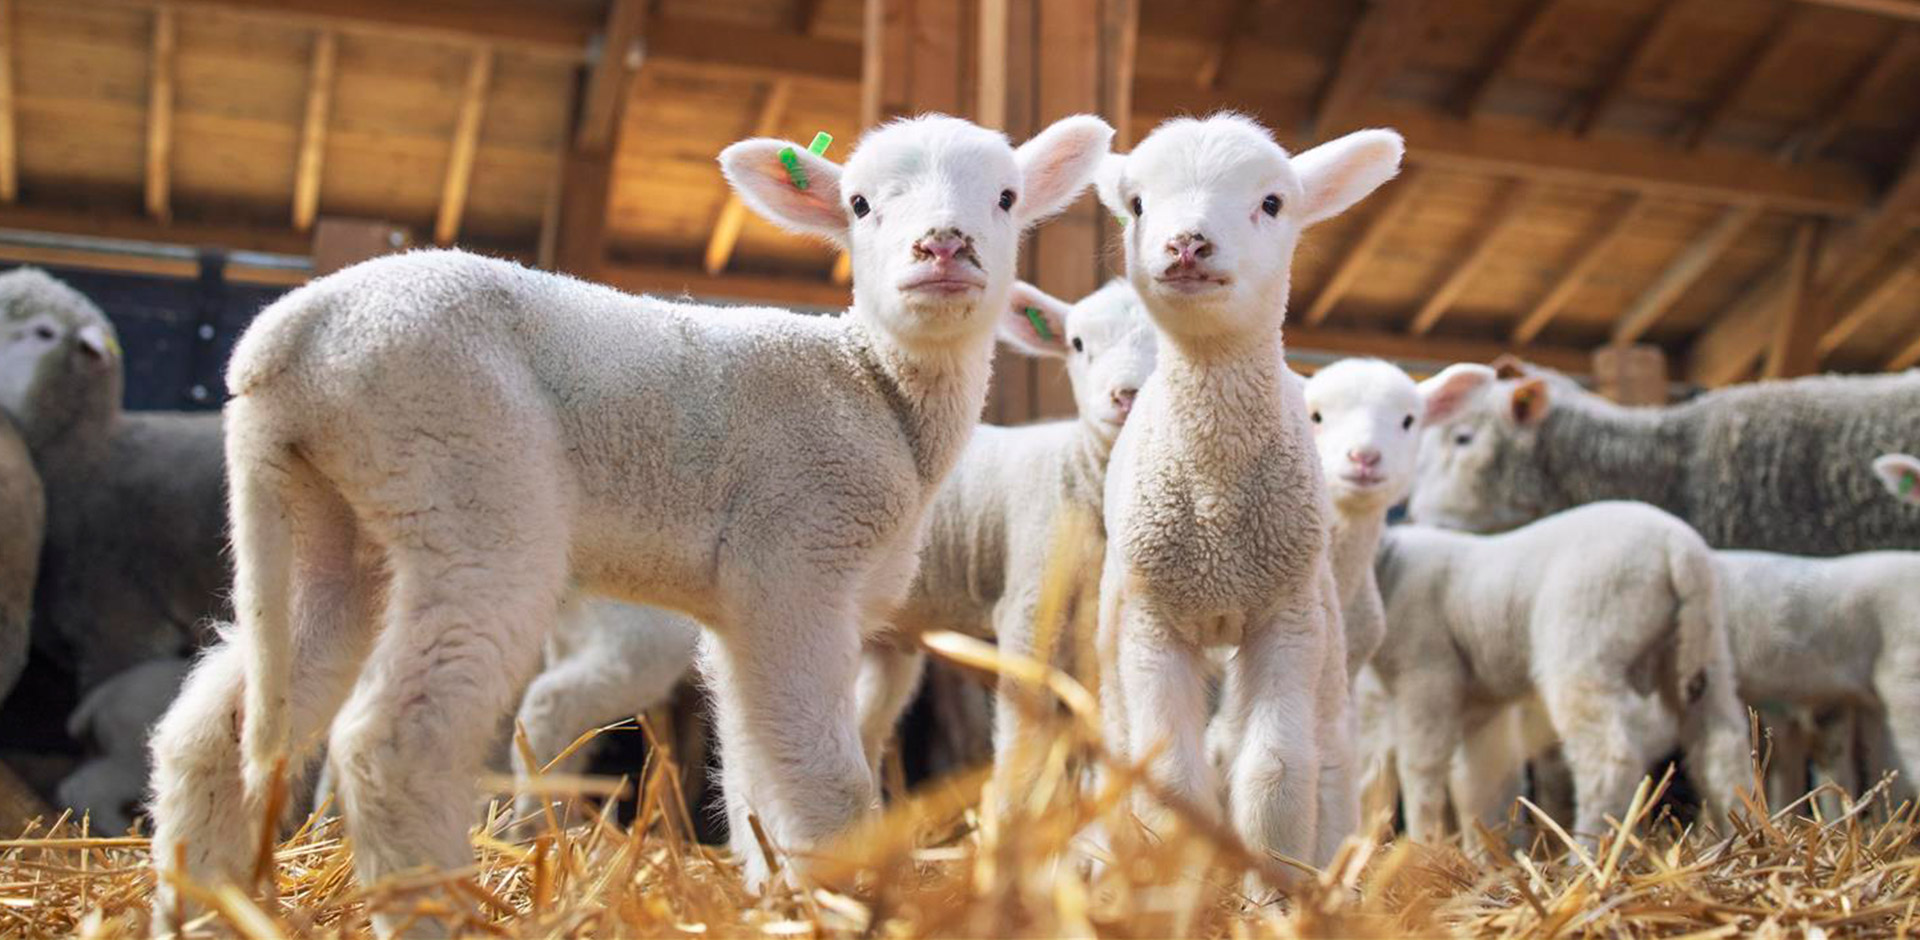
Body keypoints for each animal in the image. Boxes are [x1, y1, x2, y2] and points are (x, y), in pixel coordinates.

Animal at [510, 278, 1157, 818]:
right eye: (1078, 343)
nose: (1127, 396)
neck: (1078, 469)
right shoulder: (1028, 597)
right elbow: (1024, 732)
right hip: (637, 627)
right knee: (551, 708)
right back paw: (538, 831)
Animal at [1090, 112, 1404, 869]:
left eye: (1271, 202)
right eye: (1137, 204)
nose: (1187, 244)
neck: (1215, 503)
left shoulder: (1283, 616)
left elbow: (1276, 771)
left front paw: (1278, 885)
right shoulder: (1151, 622)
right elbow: (1171, 776)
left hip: (1323, 621)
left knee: (1328, 752)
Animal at [1370, 501, 1752, 844]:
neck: (1390, 568)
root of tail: (1679, 548)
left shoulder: (1426, 673)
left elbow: (1420, 769)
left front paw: (1421, 846)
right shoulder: (1480, 704)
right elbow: (1479, 784)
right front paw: (1484, 855)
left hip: (1584, 642)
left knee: (1609, 761)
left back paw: (1588, 851)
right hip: (1702, 647)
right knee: (1722, 747)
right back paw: (1739, 832)